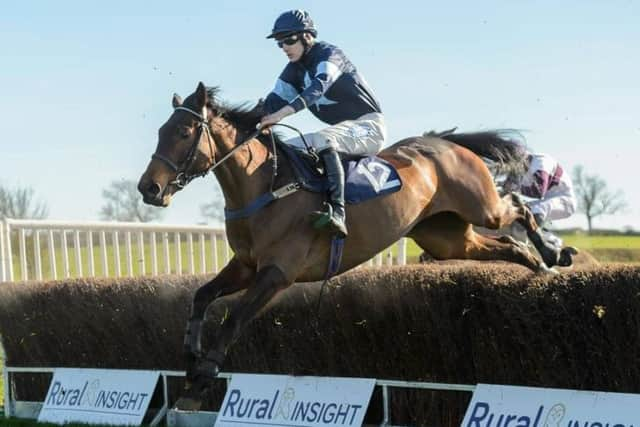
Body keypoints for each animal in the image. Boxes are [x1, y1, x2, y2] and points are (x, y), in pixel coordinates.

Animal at [136, 83, 560, 408]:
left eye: (185, 132)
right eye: (159, 131)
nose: (148, 188)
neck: (266, 187)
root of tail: (442, 141)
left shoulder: (278, 273)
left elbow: (234, 319)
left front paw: (200, 382)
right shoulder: (245, 266)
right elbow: (201, 297)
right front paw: (190, 359)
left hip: (481, 207)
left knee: (517, 206)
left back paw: (554, 252)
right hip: (447, 239)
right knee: (505, 243)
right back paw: (537, 264)